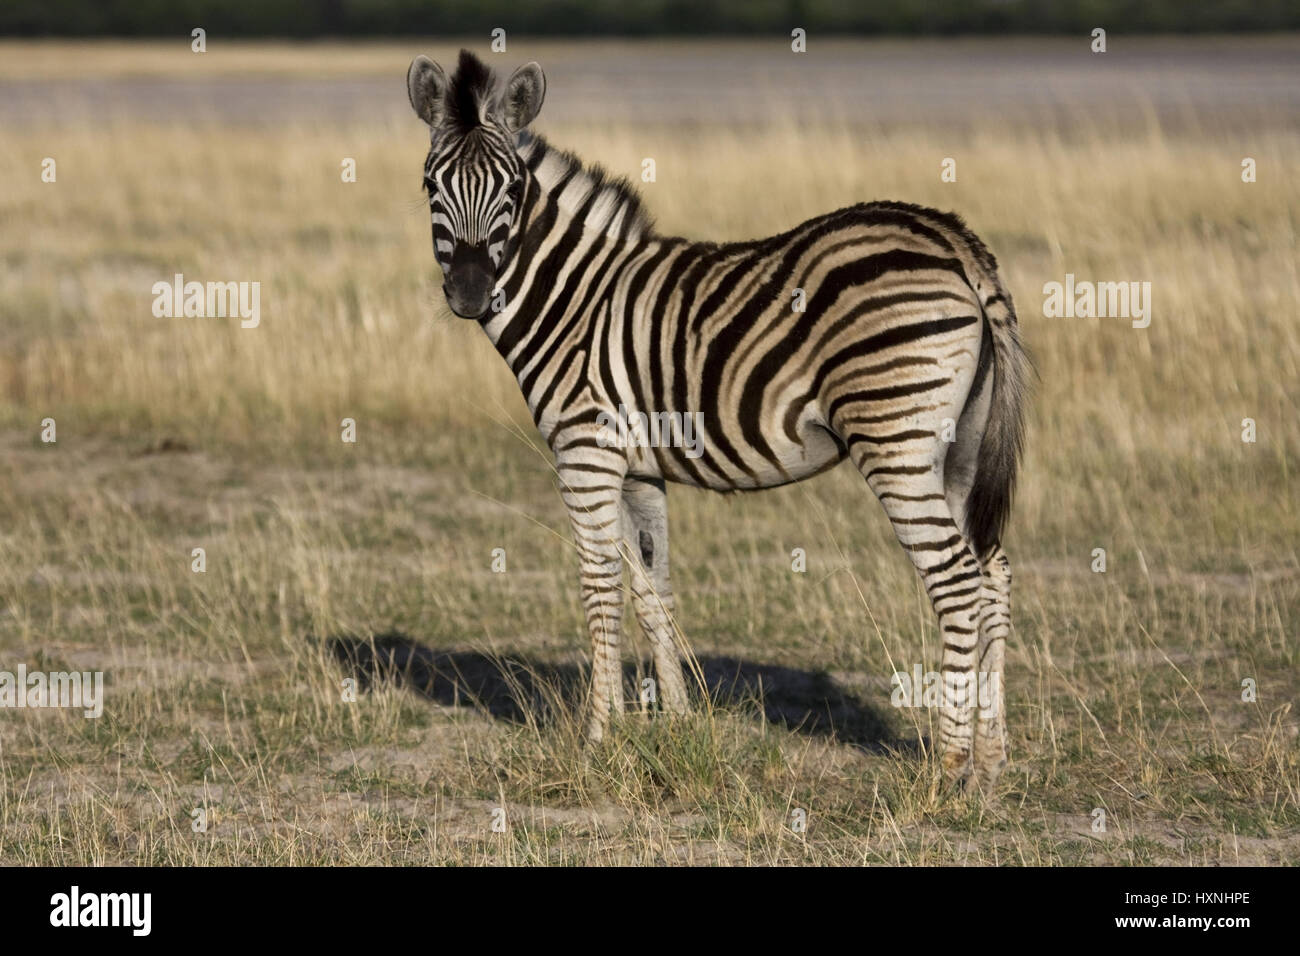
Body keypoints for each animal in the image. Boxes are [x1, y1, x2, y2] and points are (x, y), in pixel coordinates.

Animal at [405, 48, 1024, 790]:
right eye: (431, 186)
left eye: (512, 189)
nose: (470, 293)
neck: (572, 301)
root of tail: (958, 243)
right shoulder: (638, 468)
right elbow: (653, 589)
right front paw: (675, 723)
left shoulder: (584, 452)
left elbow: (600, 587)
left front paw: (598, 738)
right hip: (957, 449)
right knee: (993, 576)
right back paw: (991, 760)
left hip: (895, 439)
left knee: (957, 583)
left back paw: (949, 768)